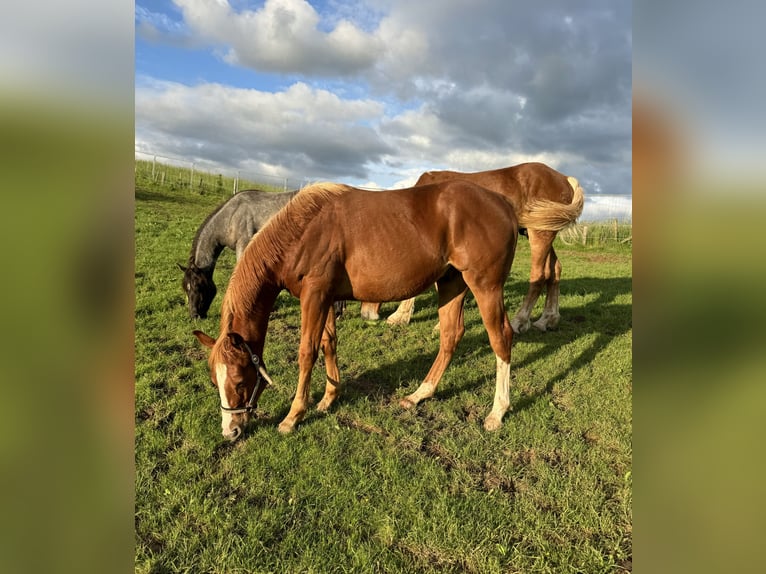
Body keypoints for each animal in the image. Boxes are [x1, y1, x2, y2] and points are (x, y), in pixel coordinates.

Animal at [195, 181, 524, 440]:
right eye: (214, 381)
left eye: (239, 381)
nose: (230, 431)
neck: (303, 231)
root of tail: (504, 206)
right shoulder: (326, 297)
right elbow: (328, 343)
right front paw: (328, 399)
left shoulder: (314, 296)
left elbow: (306, 352)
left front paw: (293, 416)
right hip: (451, 283)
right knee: (450, 336)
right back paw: (419, 395)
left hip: (484, 285)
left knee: (501, 338)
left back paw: (497, 412)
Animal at [364, 162, 584, 332]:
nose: (368, 315)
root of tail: (564, 178)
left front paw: (402, 316)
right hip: (541, 232)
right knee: (554, 270)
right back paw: (547, 319)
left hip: (539, 233)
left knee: (538, 275)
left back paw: (520, 321)